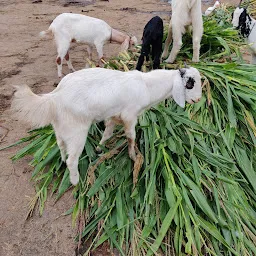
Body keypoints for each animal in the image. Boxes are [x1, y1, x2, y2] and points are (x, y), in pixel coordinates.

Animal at [11, 67, 202, 185]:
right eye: (190, 83)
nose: (199, 99)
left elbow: (108, 133)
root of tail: (55, 96)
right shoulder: (130, 116)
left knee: (61, 145)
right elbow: (131, 137)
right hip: (77, 132)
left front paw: (100, 148)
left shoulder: (113, 116)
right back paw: (75, 181)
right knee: (73, 159)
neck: (147, 86)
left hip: (61, 127)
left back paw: (63, 160)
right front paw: (134, 157)